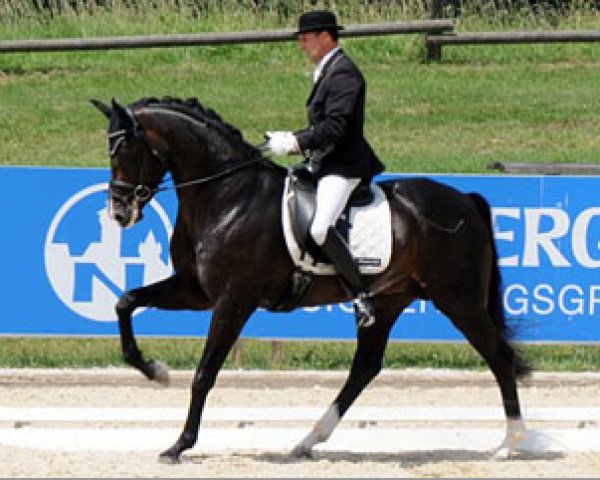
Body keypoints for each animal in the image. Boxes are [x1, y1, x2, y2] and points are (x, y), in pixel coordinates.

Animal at [90, 96, 528, 462]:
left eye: (125, 150)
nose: (119, 212)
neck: (227, 196)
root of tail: (465, 199)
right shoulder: (195, 290)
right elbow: (125, 301)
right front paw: (154, 371)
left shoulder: (233, 300)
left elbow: (204, 373)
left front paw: (179, 445)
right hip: (389, 301)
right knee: (364, 368)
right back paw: (306, 442)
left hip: (459, 299)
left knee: (499, 357)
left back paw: (511, 444)